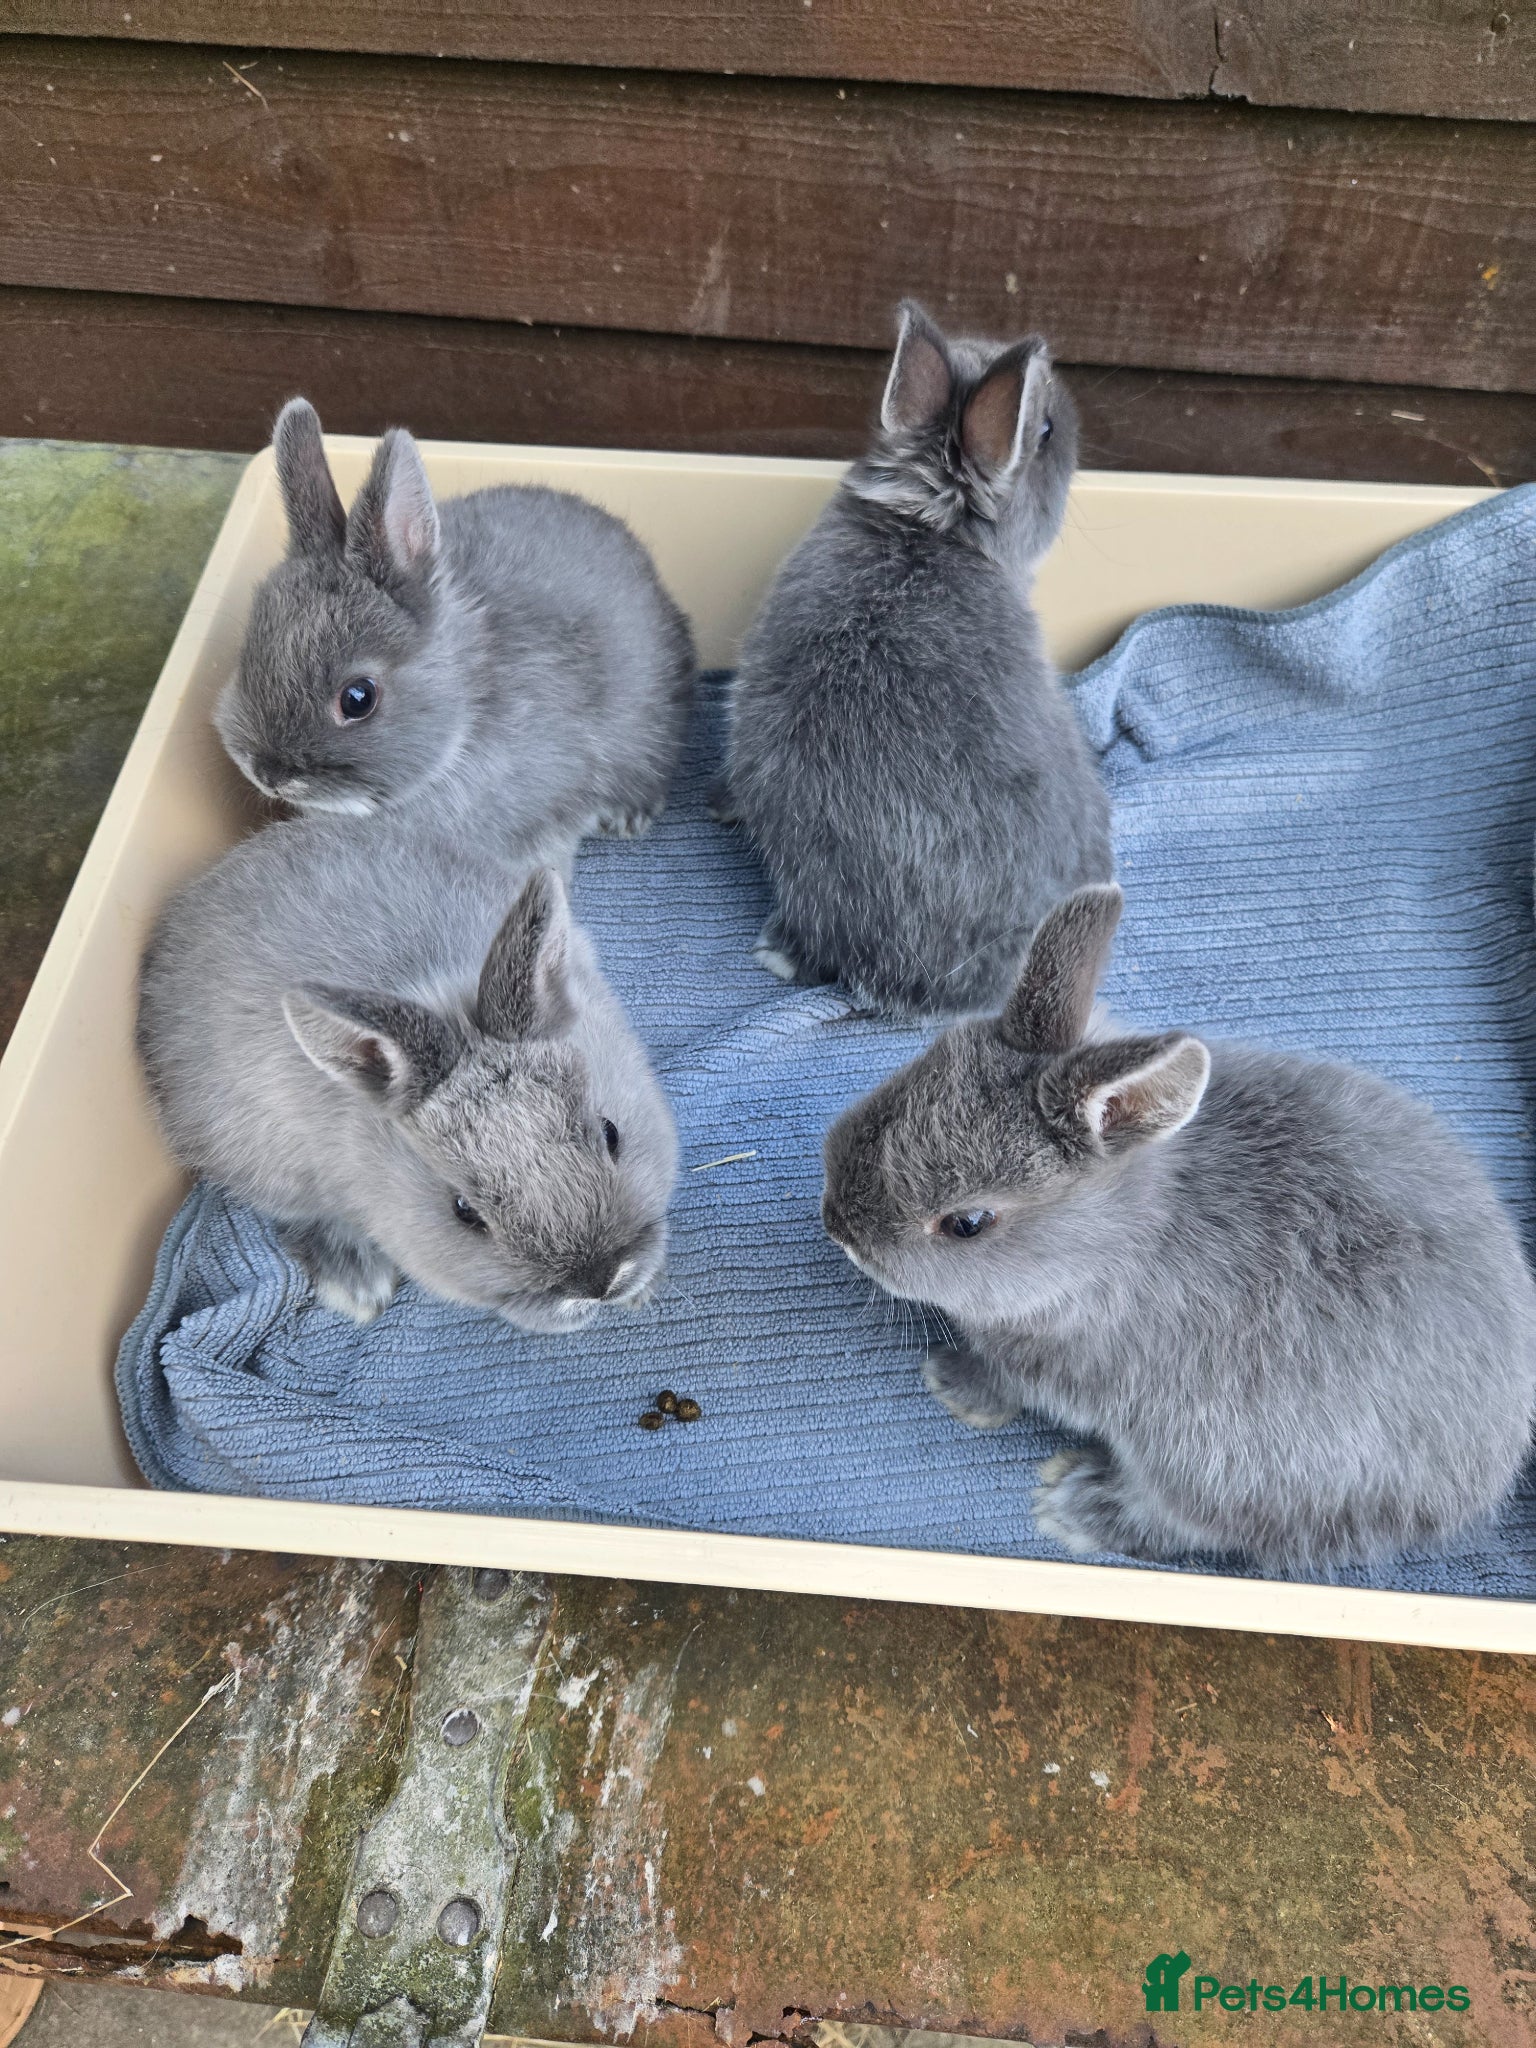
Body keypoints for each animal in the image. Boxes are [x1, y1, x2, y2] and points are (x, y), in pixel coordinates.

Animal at [821, 883, 1536, 1573]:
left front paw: (950, 1385)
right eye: (904, 1084)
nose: (838, 1226)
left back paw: (1075, 1505)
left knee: (1180, 1524)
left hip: (1210, 1470)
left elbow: (1005, 1379)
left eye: (967, 1223)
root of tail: (1479, 1476)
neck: (1120, 1239)